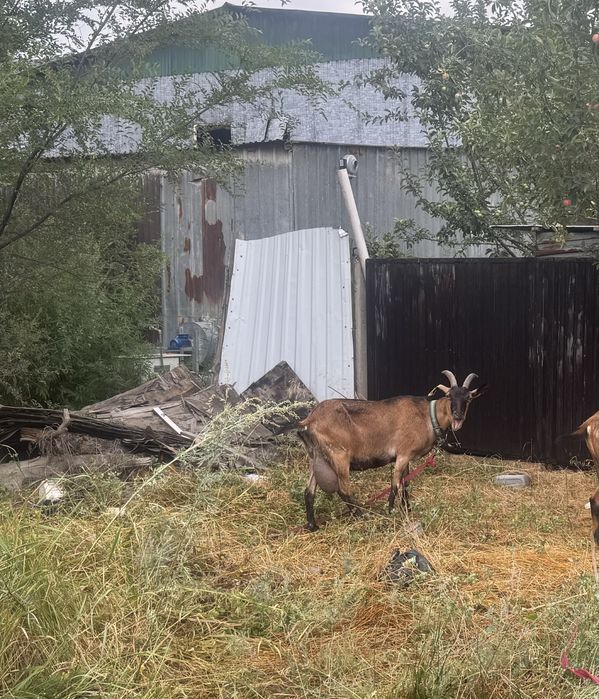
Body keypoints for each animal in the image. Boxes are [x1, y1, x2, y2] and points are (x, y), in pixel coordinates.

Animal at [297, 370, 486, 531]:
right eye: (449, 396)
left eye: (468, 398)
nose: (458, 416)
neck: (427, 416)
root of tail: (310, 419)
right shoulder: (403, 454)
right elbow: (395, 485)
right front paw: (390, 512)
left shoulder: (406, 457)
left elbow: (406, 483)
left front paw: (407, 509)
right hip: (339, 455)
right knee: (343, 490)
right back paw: (361, 516)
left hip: (317, 457)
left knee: (309, 491)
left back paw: (313, 526)